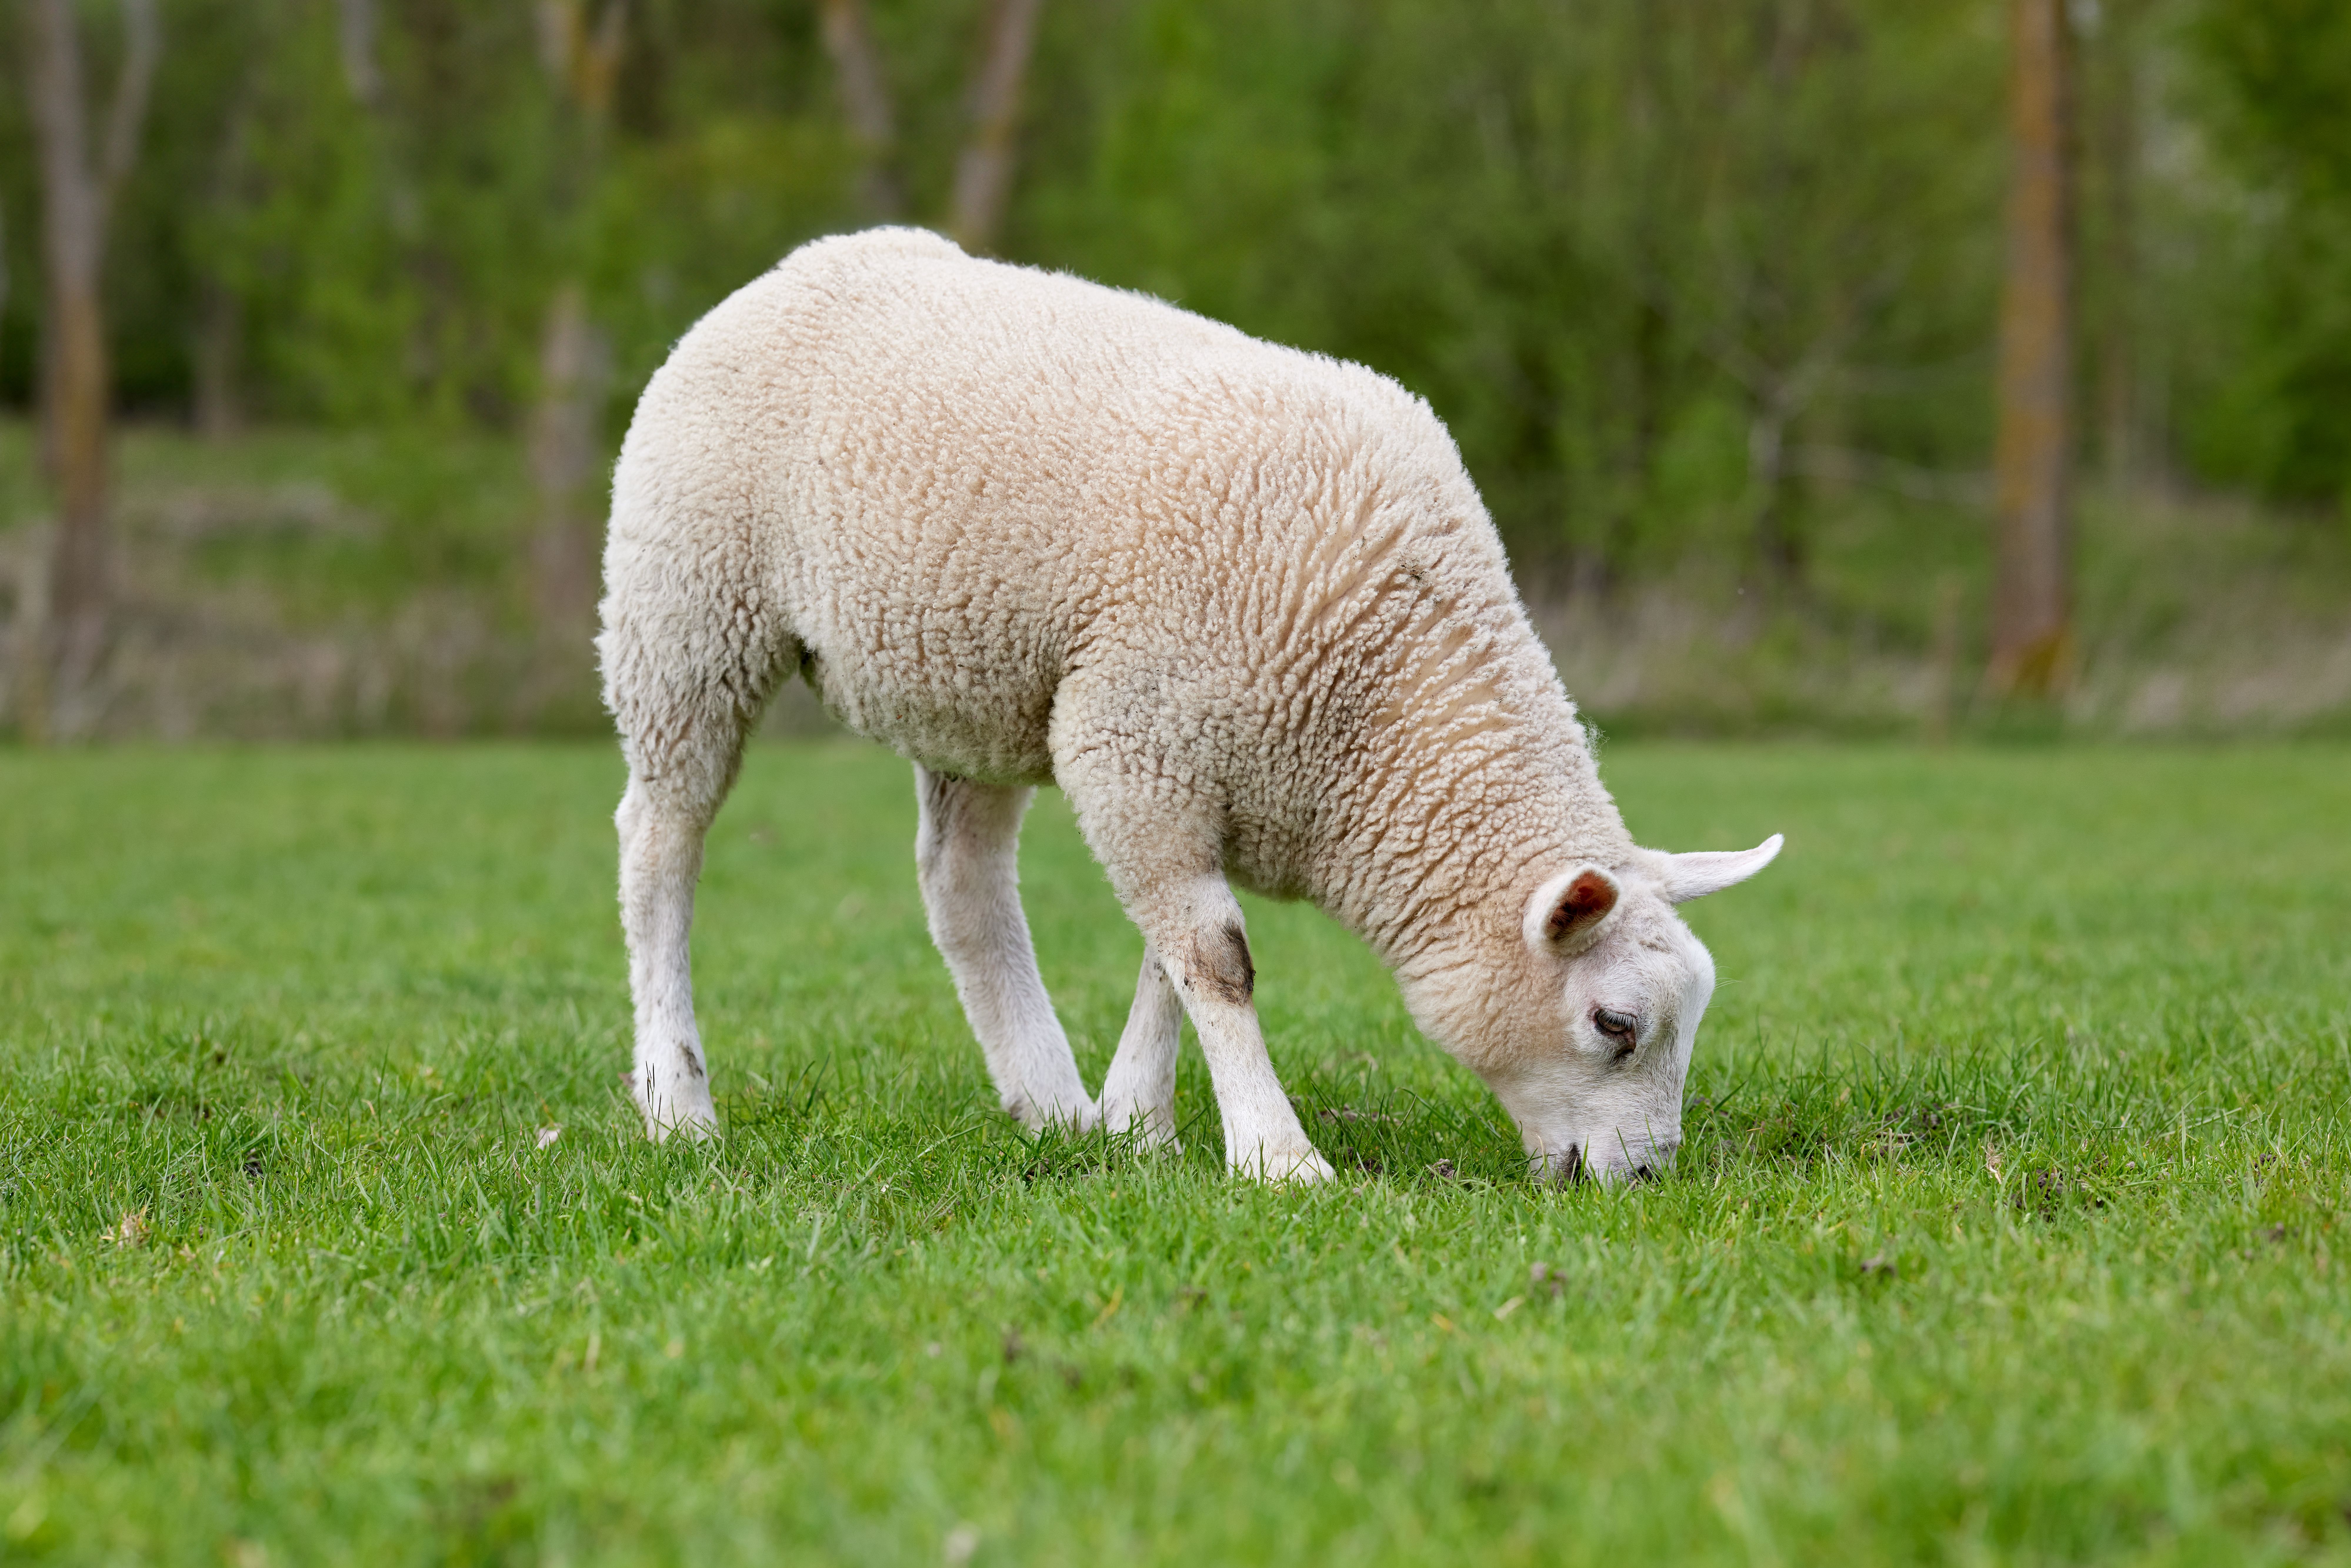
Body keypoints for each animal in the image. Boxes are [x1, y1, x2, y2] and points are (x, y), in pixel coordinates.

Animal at [598, 227, 1781, 1183]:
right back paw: (677, 1099)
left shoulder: (1203, 767)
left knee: (961, 882)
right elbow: (1216, 956)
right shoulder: (1136, 739)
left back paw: (1050, 1103)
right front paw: (1275, 1156)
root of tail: (806, 263)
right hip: (684, 606)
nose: (1646, 1177)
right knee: (661, 844)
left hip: (973, 680)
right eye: (1615, 1023)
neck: (1383, 699)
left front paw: (1137, 1124)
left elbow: (1172, 954)